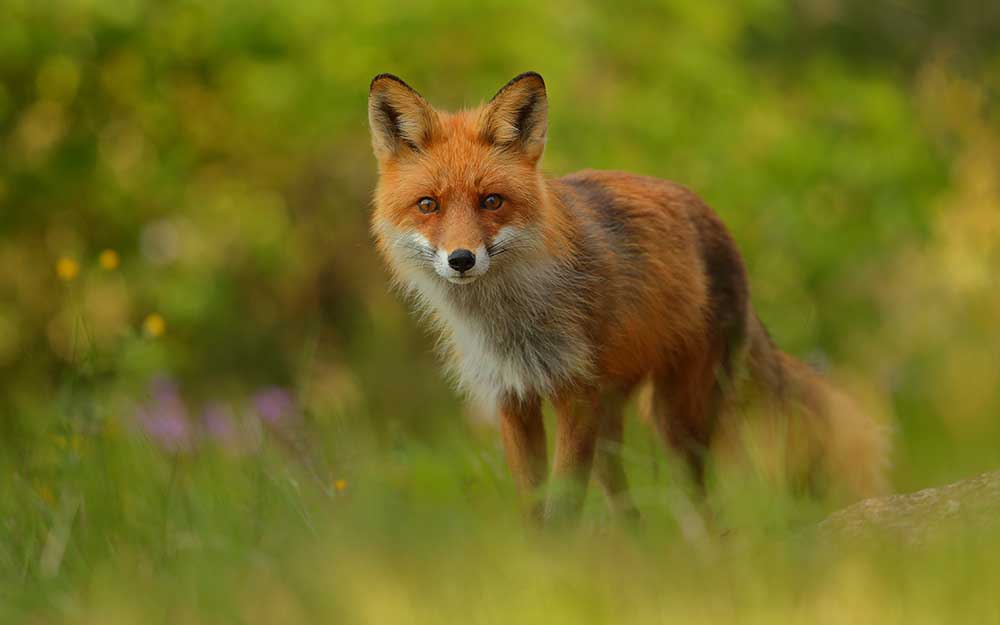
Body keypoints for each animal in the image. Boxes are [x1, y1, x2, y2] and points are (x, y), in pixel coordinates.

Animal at [367, 71, 888, 523]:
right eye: (428, 205)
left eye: (491, 201)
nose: (461, 259)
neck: (509, 323)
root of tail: (715, 223)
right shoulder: (512, 397)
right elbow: (534, 507)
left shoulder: (575, 394)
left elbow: (563, 508)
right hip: (613, 422)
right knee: (627, 508)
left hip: (678, 417)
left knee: (703, 505)